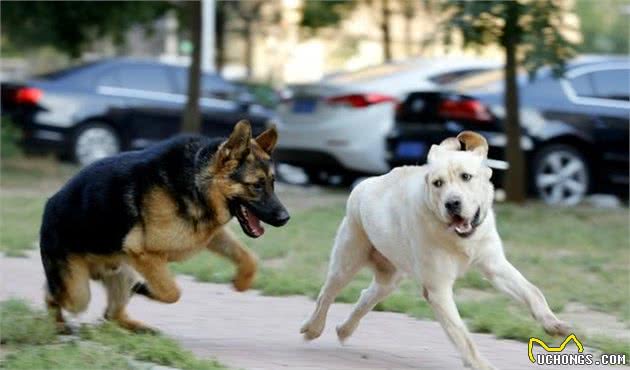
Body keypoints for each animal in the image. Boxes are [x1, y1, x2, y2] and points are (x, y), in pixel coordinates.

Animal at [302, 132, 572, 368]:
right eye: (438, 183)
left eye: (466, 176)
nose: (452, 203)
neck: (459, 240)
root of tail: (366, 183)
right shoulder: (438, 289)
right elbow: (462, 334)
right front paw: (480, 364)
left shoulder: (495, 266)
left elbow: (533, 291)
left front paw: (553, 324)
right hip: (347, 262)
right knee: (326, 295)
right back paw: (313, 328)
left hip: (389, 279)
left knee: (365, 297)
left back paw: (344, 330)